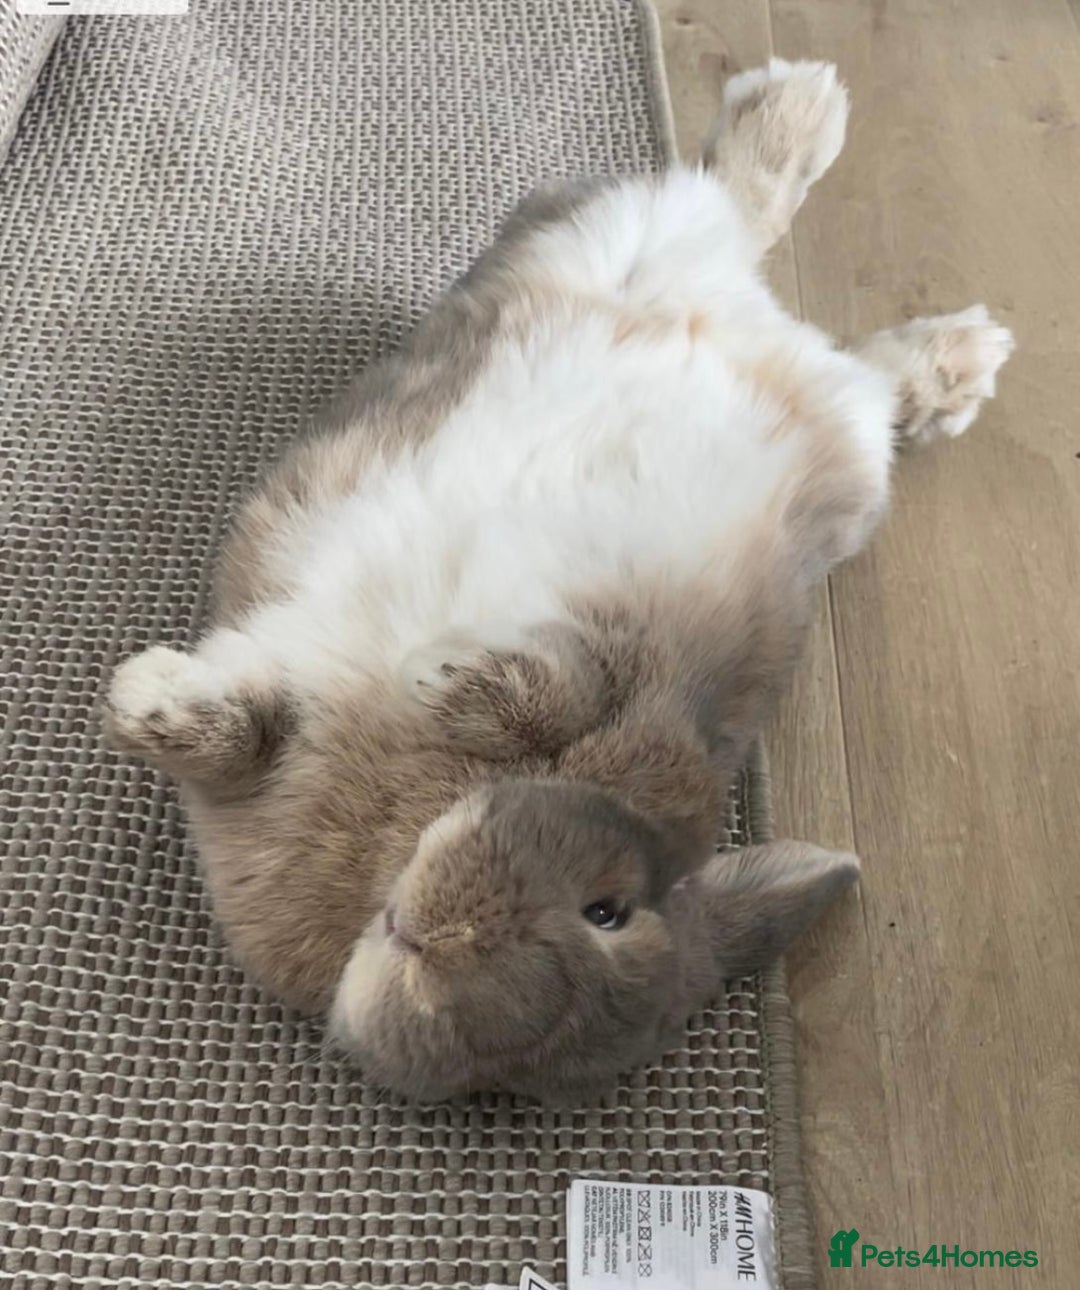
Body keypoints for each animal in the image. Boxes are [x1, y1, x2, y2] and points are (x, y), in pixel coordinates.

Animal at [105, 59, 1013, 1102]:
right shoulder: (635, 669)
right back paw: (804, 113)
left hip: (820, 419)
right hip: (606, 242)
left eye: (509, 1064)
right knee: (735, 203)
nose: (446, 936)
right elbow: (543, 696)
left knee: (853, 353)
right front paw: (154, 703)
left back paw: (952, 351)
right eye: (606, 910)